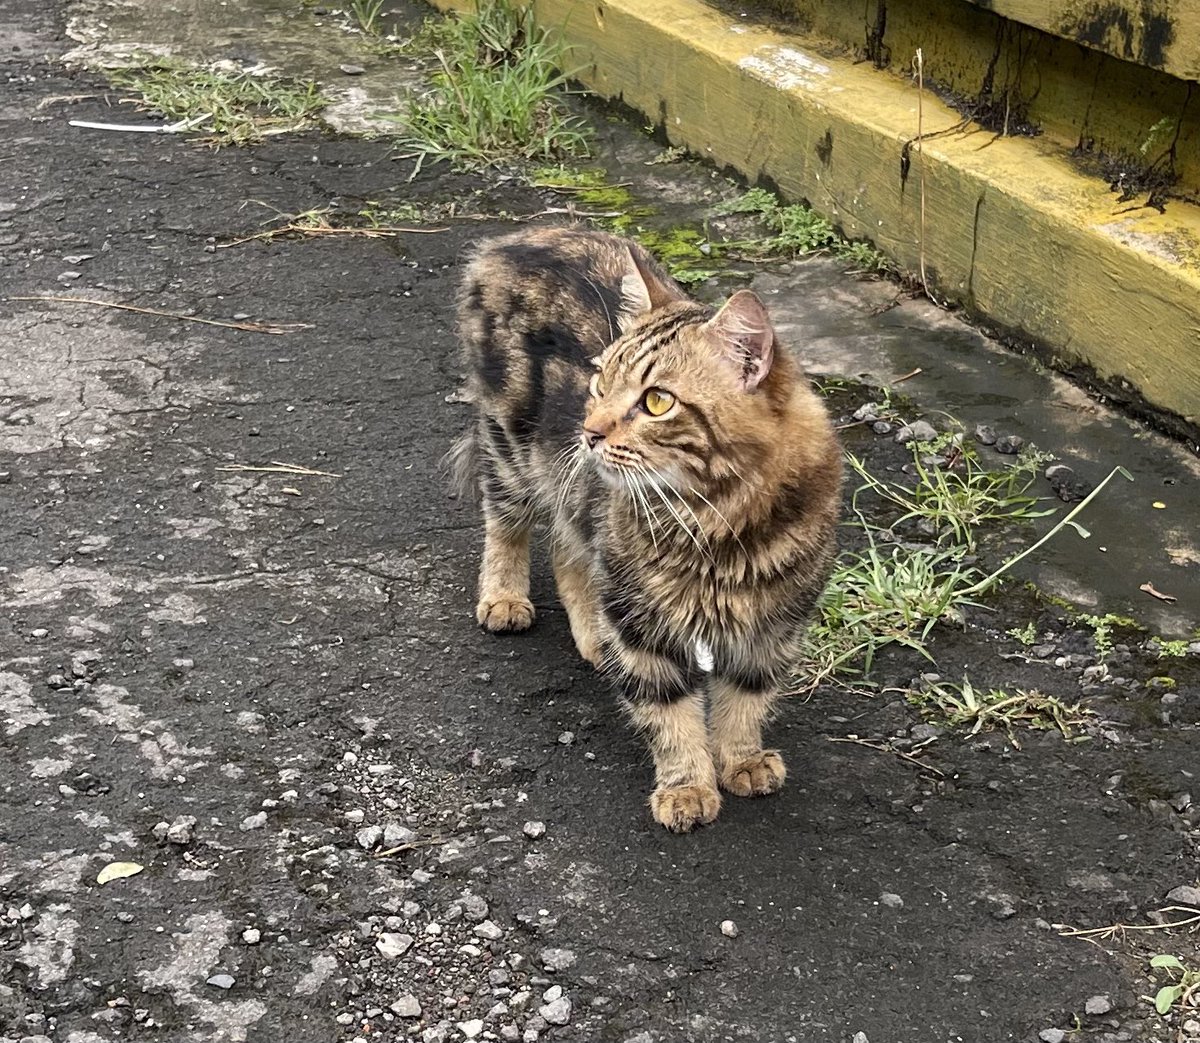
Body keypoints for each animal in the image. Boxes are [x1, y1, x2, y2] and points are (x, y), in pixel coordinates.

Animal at [453, 225, 840, 830]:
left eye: (657, 401)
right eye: (599, 382)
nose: (588, 431)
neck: (718, 523)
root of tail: (518, 235)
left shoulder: (774, 622)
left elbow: (745, 700)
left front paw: (742, 759)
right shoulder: (640, 619)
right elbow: (669, 712)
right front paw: (687, 786)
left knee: (567, 551)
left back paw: (592, 637)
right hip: (513, 452)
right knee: (506, 522)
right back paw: (505, 598)